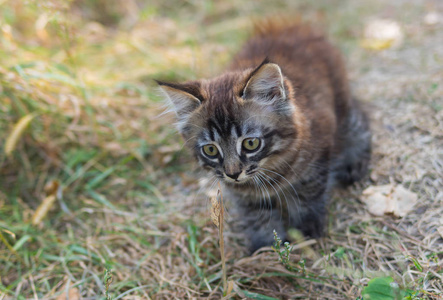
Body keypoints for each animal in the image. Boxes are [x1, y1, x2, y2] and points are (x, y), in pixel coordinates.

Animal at [156, 20, 372, 251]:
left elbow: (307, 200)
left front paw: (306, 233)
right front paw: (266, 246)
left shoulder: (316, 163)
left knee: (358, 117)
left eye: (251, 144)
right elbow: (258, 218)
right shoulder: (245, 196)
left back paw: (354, 163)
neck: (269, 169)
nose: (233, 174)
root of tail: (290, 27)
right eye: (211, 149)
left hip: (341, 103)